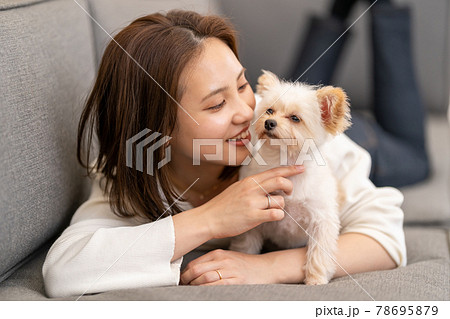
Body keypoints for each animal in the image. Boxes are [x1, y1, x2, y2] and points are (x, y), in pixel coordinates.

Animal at [229, 70, 352, 284]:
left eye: (295, 118)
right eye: (270, 111)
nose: (269, 122)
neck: (285, 161)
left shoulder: (322, 221)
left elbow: (318, 255)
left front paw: (315, 279)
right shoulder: (254, 221)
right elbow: (246, 246)